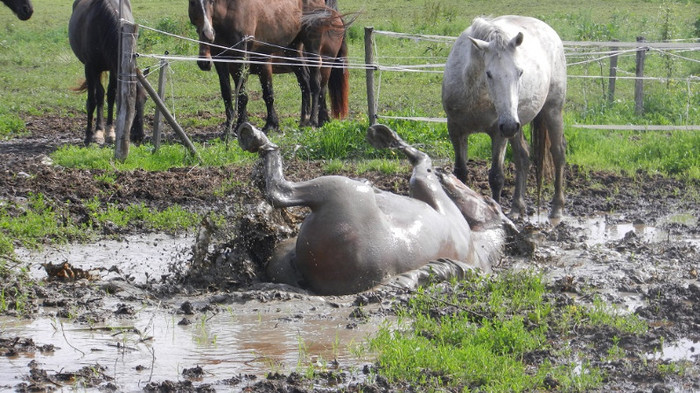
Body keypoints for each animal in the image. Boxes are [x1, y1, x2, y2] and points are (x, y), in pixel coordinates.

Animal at [69, 0, 147, 145]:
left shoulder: (115, 68)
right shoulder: (90, 67)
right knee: (98, 95)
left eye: (145, 99)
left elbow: (111, 95)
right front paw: (91, 135)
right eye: (131, 104)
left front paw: (110, 132)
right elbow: (93, 99)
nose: (139, 136)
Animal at [187, 0, 348, 132]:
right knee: (305, 84)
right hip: (293, 51)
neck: (227, 13)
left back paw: (314, 121)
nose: (208, 33)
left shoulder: (244, 57)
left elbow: (247, 94)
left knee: (317, 85)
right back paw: (304, 121)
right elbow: (227, 93)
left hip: (313, 50)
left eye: (211, 1)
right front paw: (228, 128)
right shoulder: (221, 59)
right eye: (193, 2)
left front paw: (244, 125)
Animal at [235, 122, 516, 294]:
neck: (477, 251)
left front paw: (383, 136)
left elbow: (421, 160)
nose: (447, 173)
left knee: (280, 190)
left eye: (490, 203)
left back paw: (254, 138)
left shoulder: (424, 184)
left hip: (339, 189)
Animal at [442, 15, 568, 217]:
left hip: (550, 111)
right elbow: (460, 173)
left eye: (520, 72)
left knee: (558, 153)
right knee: (523, 156)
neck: (477, 95)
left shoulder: (498, 133)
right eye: (489, 74)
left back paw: (557, 208)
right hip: (517, 124)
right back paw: (517, 207)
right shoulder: (456, 129)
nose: (509, 125)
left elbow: (496, 177)